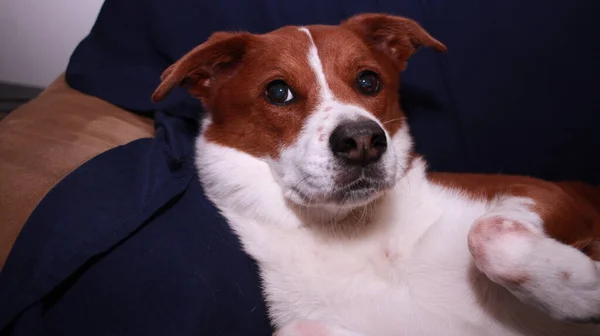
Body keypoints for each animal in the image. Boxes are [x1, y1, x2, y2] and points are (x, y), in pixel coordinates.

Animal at [151, 13, 600, 336]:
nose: (363, 140)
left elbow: (488, 231)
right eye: (278, 92)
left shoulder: (553, 193)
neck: (355, 232)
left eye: (369, 80)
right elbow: (295, 330)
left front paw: (584, 288)